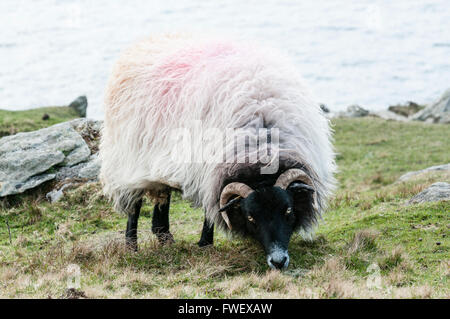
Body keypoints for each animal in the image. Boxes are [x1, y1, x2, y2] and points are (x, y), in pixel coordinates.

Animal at [99, 34, 338, 270]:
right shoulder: (210, 169)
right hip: (128, 159)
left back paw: (166, 239)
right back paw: (132, 246)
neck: (261, 148)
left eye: (288, 210)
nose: (278, 261)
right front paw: (205, 243)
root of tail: (140, 44)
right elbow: (212, 210)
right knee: (134, 205)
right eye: (251, 217)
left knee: (162, 199)